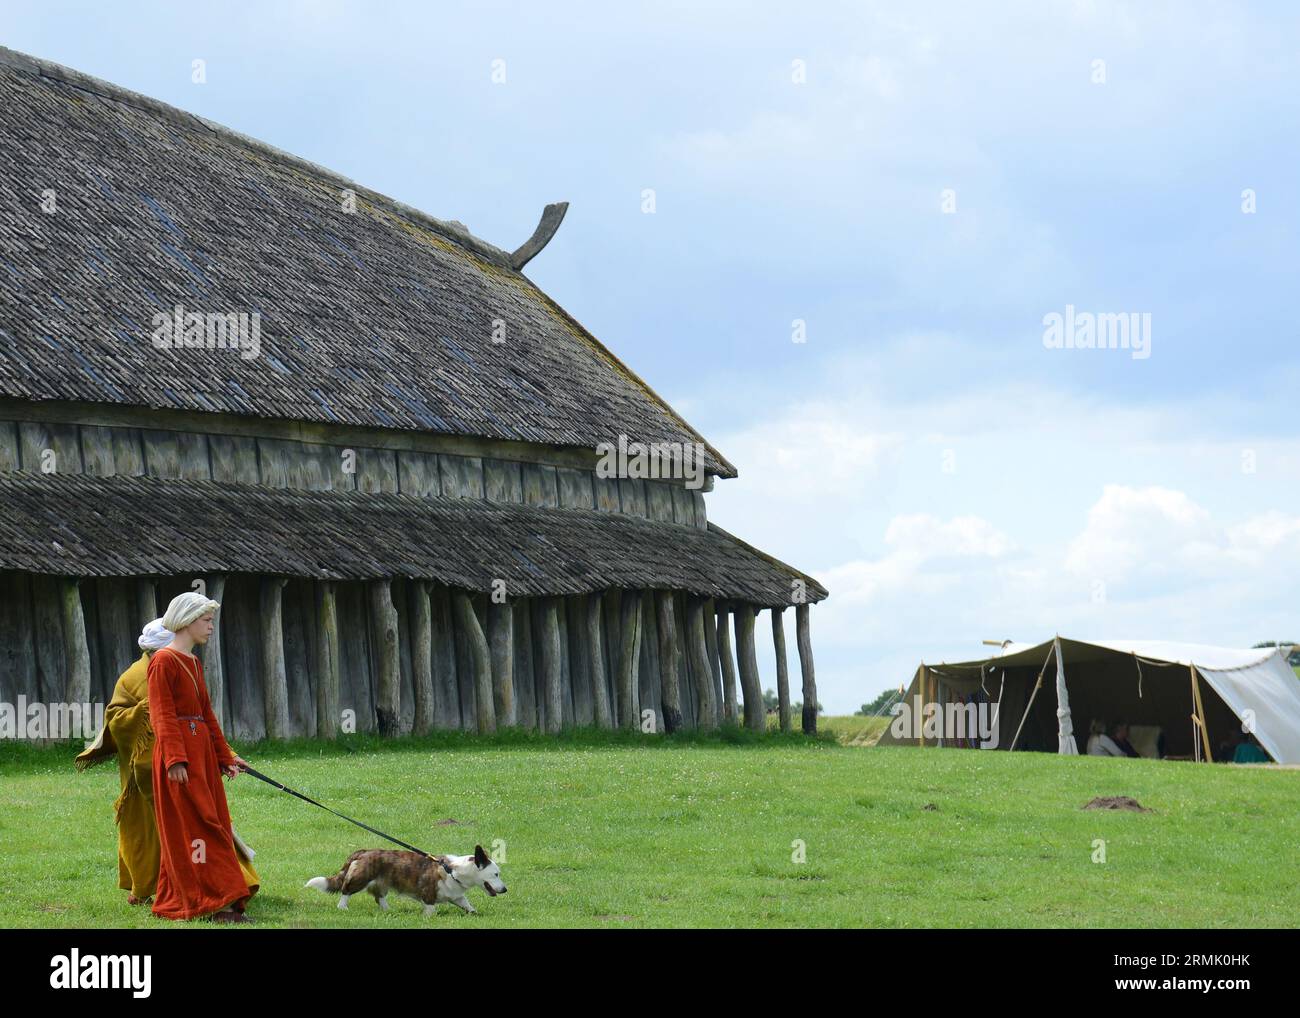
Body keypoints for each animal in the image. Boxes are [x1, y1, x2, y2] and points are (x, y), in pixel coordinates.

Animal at [306, 842, 504, 915]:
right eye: (496, 874)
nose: (505, 889)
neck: (452, 870)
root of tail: (362, 852)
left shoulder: (457, 896)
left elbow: (467, 905)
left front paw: (474, 913)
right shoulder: (428, 894)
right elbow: (431, 909)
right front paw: (430, 917)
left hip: (382, 884)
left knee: (379, 897)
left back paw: (388, 910)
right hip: (359, 879)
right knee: (345, 891)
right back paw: (343, 907)